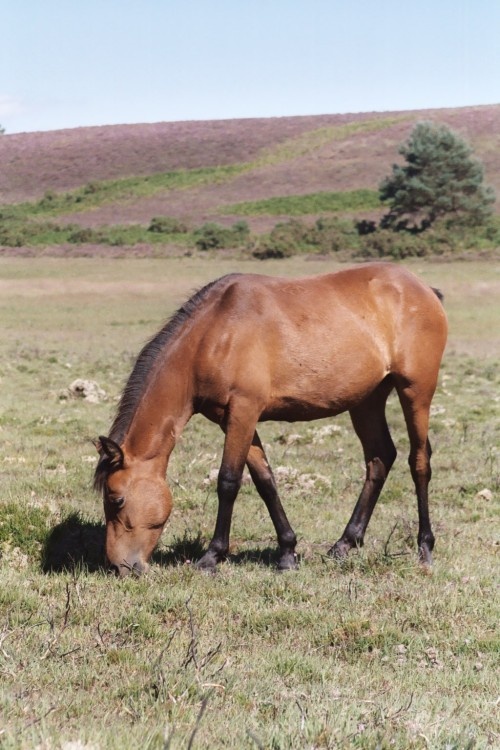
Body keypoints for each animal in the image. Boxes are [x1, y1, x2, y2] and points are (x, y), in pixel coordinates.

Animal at [94, 262, 450, 580]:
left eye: (116, 499)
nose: (121, 567)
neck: (215, 335)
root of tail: (424, 289)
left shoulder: (244, 411)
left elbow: (228, 481)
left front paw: (212, 557)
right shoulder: (233, 418)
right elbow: (265, 481)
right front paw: (287, 553)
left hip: (416, 390)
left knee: (419, 461)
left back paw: (425, 548)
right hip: (367, 400)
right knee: (380, 457)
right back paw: (344, 544)